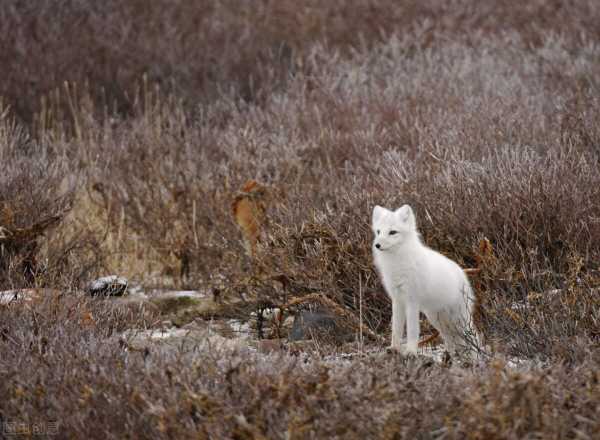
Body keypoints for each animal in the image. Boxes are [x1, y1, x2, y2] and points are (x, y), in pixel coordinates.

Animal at [372, 205, 480, 356]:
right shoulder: (397, 300)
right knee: (449, 338)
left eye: (392, 232)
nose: (377, 245)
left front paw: (411, 351)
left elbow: (412, 330)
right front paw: (394, 348)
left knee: (474, 335)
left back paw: (477, 356)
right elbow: (396, 328)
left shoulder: (412, 301)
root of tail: (463, 274)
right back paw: (450, 354)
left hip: (459, 318)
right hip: (437, 319)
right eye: (378, 231)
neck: (397, 261)